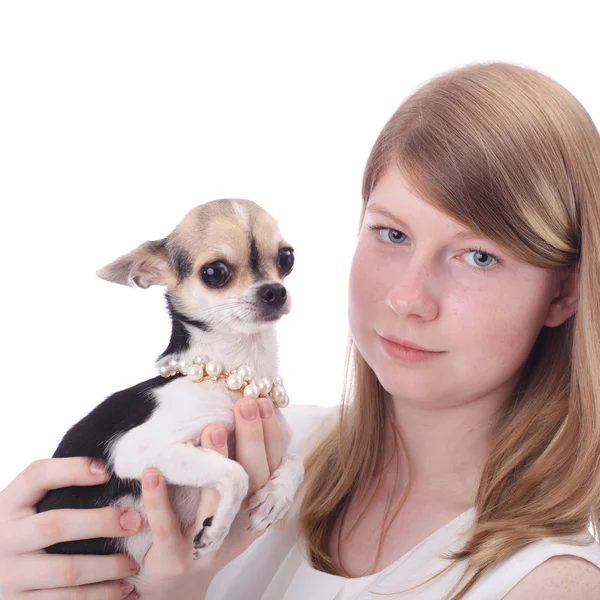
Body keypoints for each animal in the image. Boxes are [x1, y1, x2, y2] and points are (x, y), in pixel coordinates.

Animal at [36, 200, 304, 568]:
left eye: (287, 258)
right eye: (214, 273)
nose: (275, 291)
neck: (237, 380)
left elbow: (298, 461)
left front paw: (276, 497)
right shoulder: (136, 450)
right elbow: (236, 473)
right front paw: (218, 527)